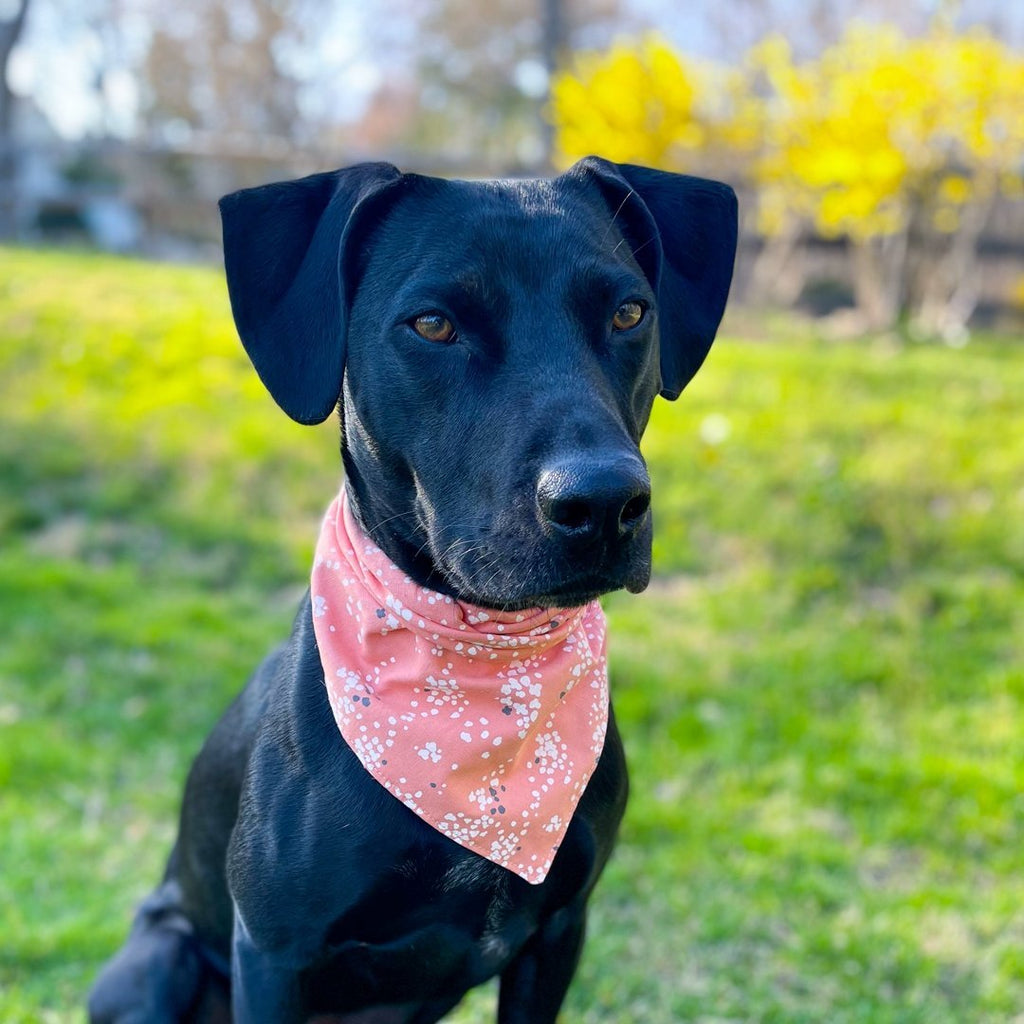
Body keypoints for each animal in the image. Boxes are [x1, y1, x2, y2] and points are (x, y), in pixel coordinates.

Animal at [88, 155, 737, 1019]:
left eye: (630, 312)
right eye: (433, 325)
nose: (602, 502)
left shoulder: (559, 931)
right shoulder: (273, 953)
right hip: (156, 959)